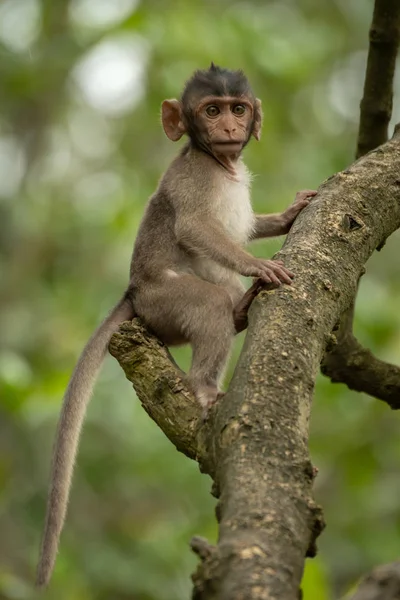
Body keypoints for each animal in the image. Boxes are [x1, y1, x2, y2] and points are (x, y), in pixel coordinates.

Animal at [38, 63, 318, 588]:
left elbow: (248, 225)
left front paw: (290, 214)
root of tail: (133, 292)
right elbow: (194, 228)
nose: (228, 128)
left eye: (237, 108)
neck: (220, 165)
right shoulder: (193, 178)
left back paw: (241, 311)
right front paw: (258, 264)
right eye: (210, 110)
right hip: (165, 301)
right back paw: (206, 384)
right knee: (208, 305)